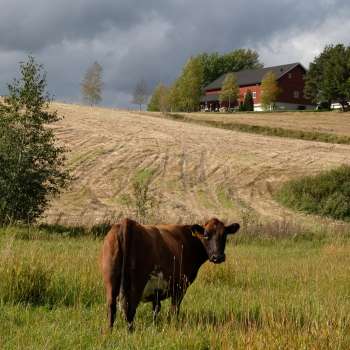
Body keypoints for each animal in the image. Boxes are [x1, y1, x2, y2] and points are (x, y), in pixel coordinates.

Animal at [100, 216, 239, 330]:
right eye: (206, 235)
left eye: (224, 236)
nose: (218, 257)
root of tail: (128, 222)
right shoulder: (180, 286)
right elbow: (174, 309)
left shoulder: (156, 291)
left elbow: (156, 309)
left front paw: (154, 326)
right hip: (136, 284)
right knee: (130, 309)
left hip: (111, 281)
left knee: (111, 307)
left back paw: (109, 331)